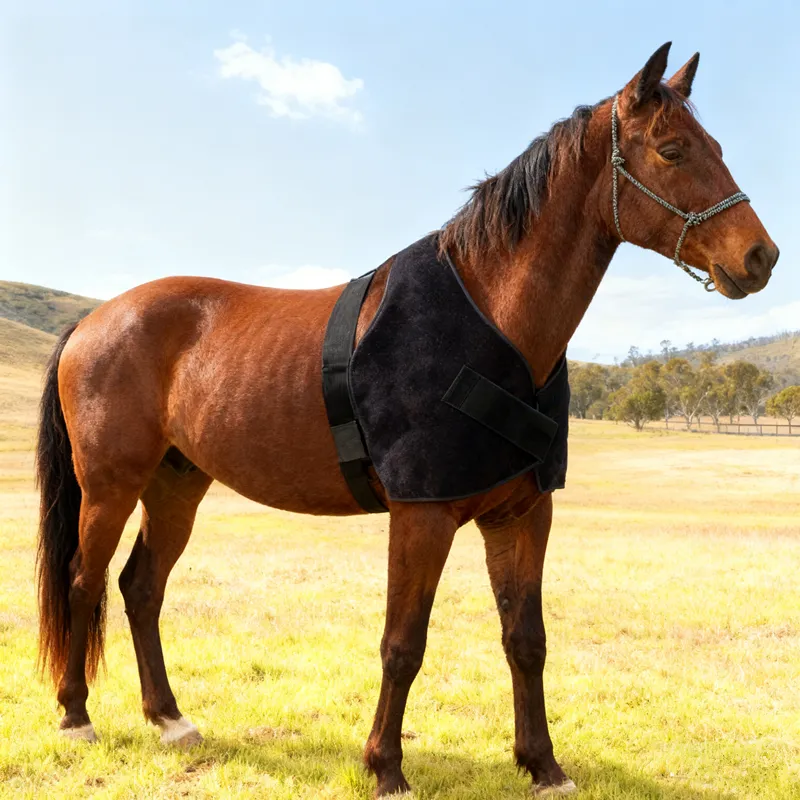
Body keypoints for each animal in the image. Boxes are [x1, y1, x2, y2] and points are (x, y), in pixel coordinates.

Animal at [35, 42, 778, 797]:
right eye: (672, 150)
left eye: (714, 146)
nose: (760, 256)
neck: (492, 320)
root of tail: (92, 322)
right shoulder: (422, 515)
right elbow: (403, 643)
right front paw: (386, 765)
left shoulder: (521, 514)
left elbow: (526, 641)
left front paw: (542, 764)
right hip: (110, 488)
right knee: (83, 581)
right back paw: (76, 716)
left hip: (176, 485)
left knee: (140, 589)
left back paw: (170, 718)